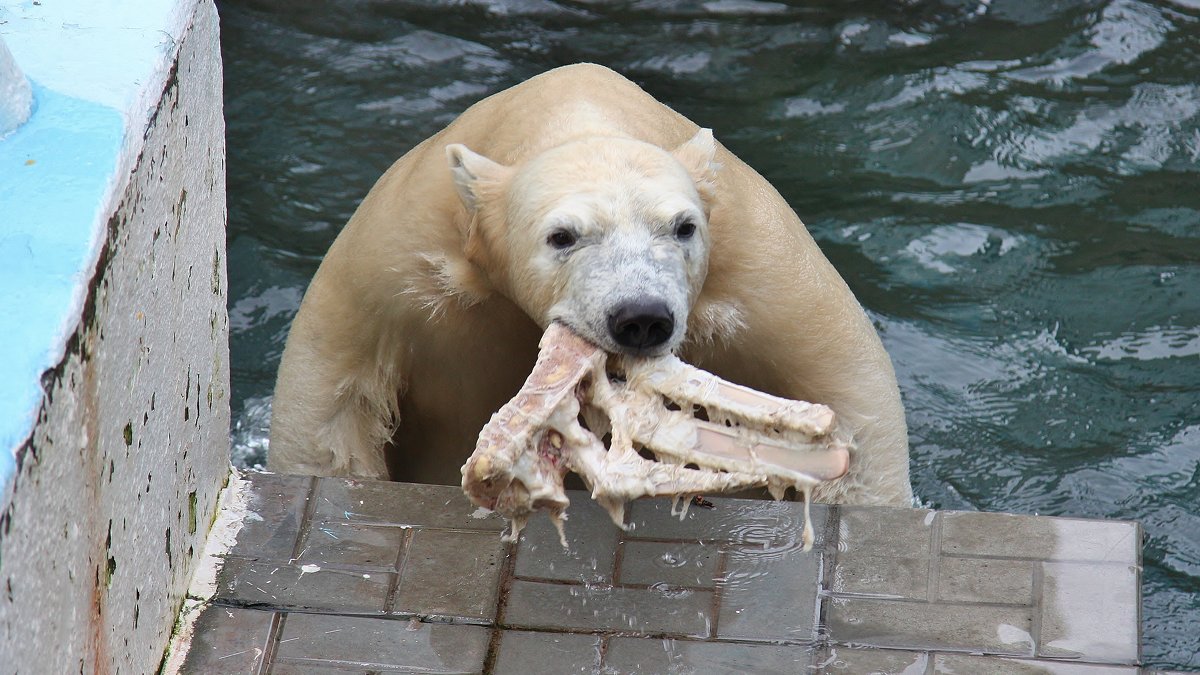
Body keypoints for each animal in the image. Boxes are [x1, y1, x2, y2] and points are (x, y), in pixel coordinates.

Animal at [270, 63, 907, 504]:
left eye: (683, 227)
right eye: (562, 236)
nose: (642, 317)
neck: (575, 114)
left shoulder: (758, 265)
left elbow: (843, 385)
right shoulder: (396, 262)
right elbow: (332, 401)